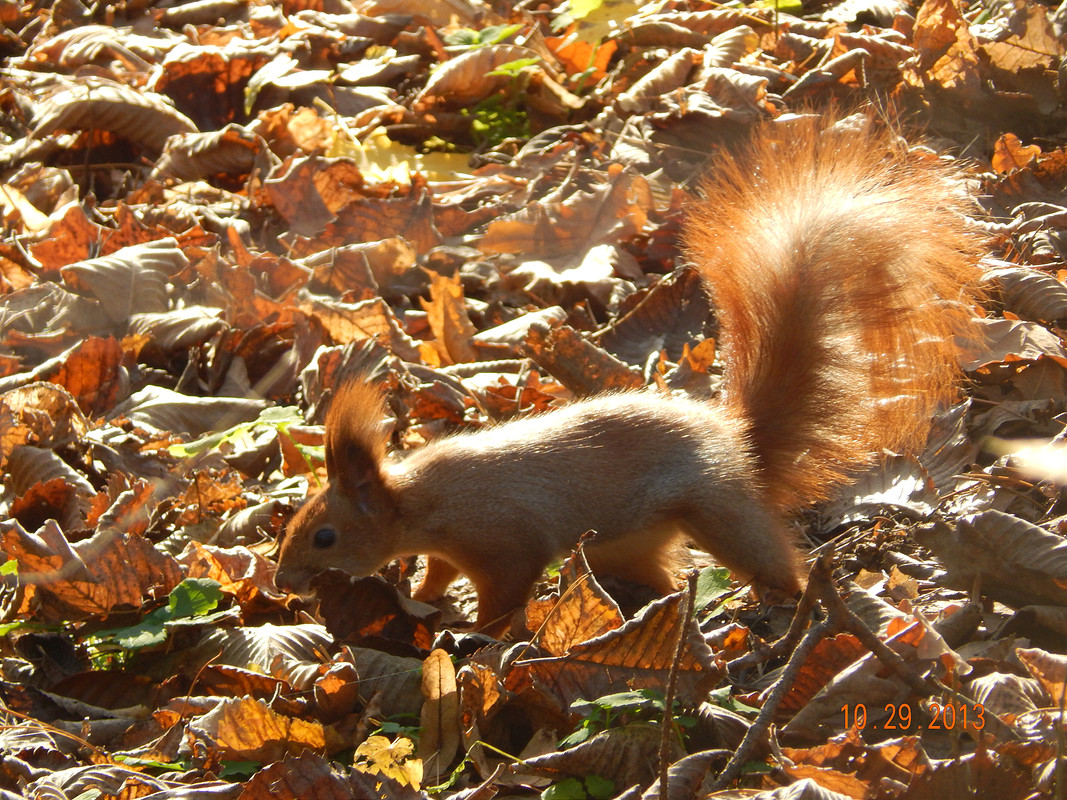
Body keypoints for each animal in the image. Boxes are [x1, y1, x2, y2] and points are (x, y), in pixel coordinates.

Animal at [273, 114, 981, 640]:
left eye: (325, 536)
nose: (281, 583)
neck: (420, 503)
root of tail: (736, 439)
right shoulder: (451, 550)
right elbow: (437, 578)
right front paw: (426, 596)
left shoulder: (501, 541)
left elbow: (505, 592)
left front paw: (480, 632)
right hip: (626, 545)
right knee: (662, 579)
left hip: (715, 507)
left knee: (770, 558)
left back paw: (789, 602)